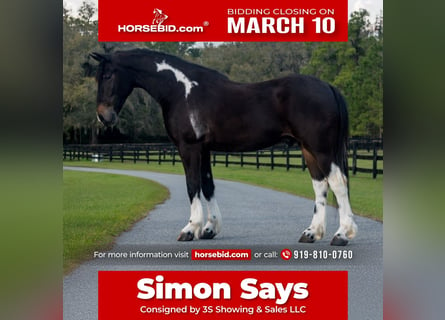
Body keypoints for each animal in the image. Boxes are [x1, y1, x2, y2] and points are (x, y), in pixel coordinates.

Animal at [90, 49, 358, 245]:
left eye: (107, 76)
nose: (104, 116)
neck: (180, 90)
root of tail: (327, 87)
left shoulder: (189, 148)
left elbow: (192, 186)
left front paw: (191, 229)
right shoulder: (204, 149)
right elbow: (208, 186)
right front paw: (209, 228)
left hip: (321, 149)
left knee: (337, 183)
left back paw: (342, 235)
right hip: (308, 149)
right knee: (320, 185)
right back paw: (311, 233)